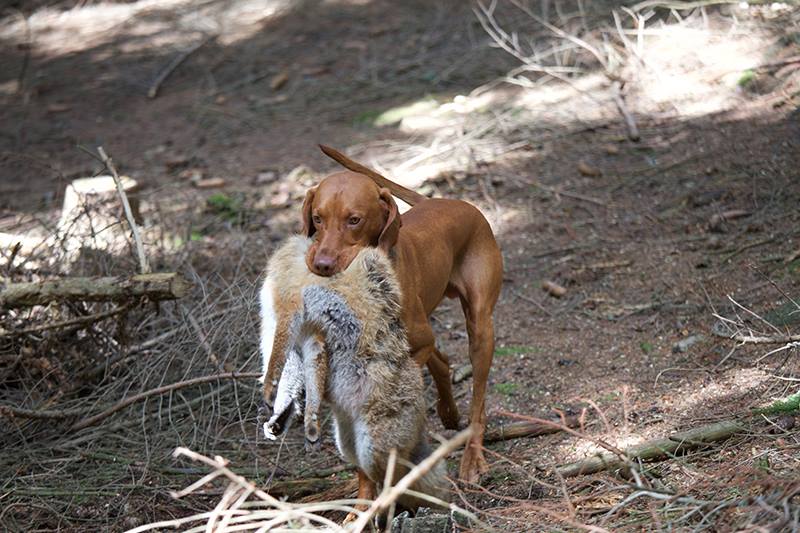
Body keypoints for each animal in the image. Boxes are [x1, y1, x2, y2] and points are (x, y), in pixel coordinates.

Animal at [298, 143, 500, 492]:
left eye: (354, 220)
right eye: (317, 218)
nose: (322, 264)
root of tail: (445, 201)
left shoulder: (412, 350)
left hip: (479, 327)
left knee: (477, 397)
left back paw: (472, 456)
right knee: (442, 362)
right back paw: (448, 413)